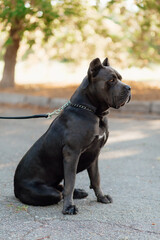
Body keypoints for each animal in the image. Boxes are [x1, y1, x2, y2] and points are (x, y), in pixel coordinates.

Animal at [14, 57, 131, 214]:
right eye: (111, 80)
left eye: (120, 78)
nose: (129, 88)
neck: (95, 113)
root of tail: (15, 187)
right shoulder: (72, 153)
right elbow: (70, 181)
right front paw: (69, 207)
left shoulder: (95, 154)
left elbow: (96, 178)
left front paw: (101, 197)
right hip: (47, 192)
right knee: (59, 192)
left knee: (61, 187)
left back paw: (79, 192)